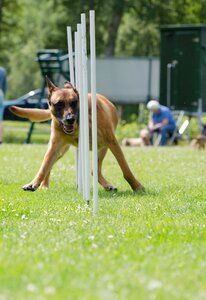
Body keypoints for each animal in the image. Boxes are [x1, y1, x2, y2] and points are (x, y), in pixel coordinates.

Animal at [9, 78, 144, 192]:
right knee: (50, 166)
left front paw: (137, 186)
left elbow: (126, 169)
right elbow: (44, 166)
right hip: (60, 150)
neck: (79, 124)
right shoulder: (54, 146)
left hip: (102, 148)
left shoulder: (112, 142)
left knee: (95, 171)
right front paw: (34, 183)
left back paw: (107, 185)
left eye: (74, 102)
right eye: (59, 104)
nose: (70, 119)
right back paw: (44, 185)